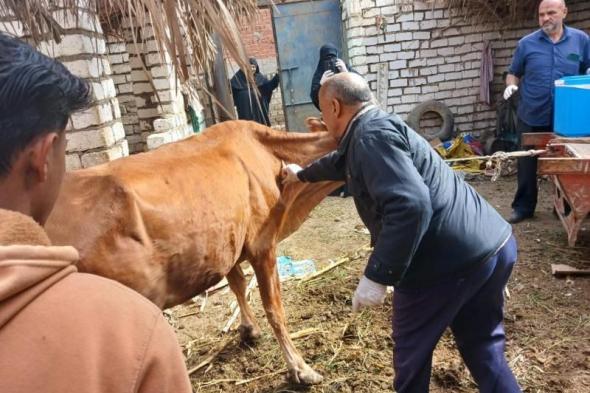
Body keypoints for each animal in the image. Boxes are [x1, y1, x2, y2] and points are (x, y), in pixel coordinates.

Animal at [46, 119, 342, 382]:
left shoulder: (225, 243)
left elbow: (237, 283)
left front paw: (249, 330)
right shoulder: (263, 244)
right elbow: (275, 310)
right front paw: (301, 368)